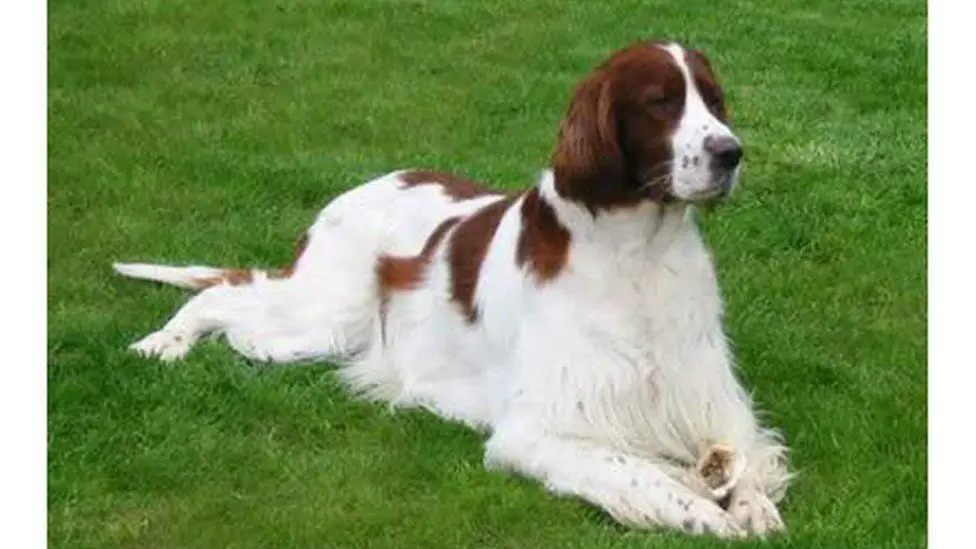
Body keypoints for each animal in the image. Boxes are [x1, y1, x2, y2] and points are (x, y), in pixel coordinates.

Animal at [110, 40, 788, 536]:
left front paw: (747, 500)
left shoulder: (707, 394)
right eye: (660, 102)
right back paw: (161, 343)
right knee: (221, 296)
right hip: (319, 319)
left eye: (714, 100)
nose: (731, 152)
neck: (639, 253)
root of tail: (350, 194)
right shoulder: (539, 429)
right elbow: (637, 472)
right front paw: (701, 510)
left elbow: (743, 453)